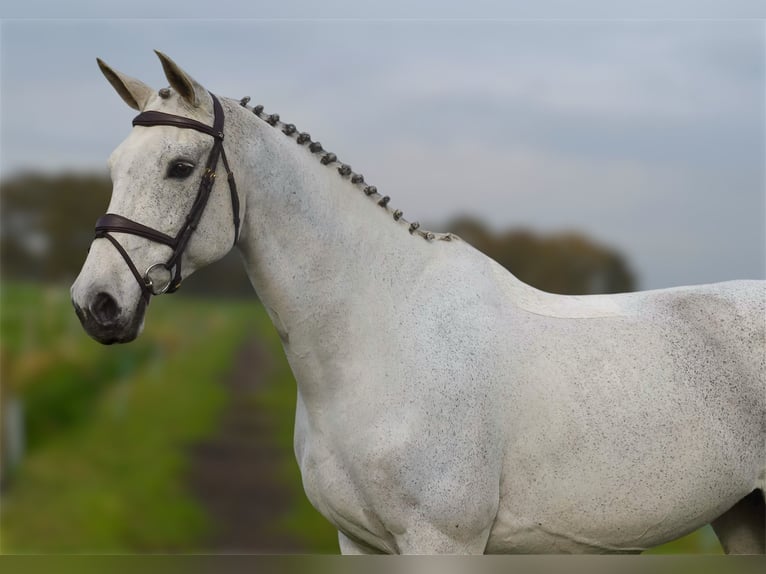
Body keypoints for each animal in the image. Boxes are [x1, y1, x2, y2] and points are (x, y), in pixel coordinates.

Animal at [70, 51, 760, 556]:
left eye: (181, 168)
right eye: (115, 165)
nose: (95, 303)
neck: (380, 337)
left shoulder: (442, 542)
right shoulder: (360, 543)